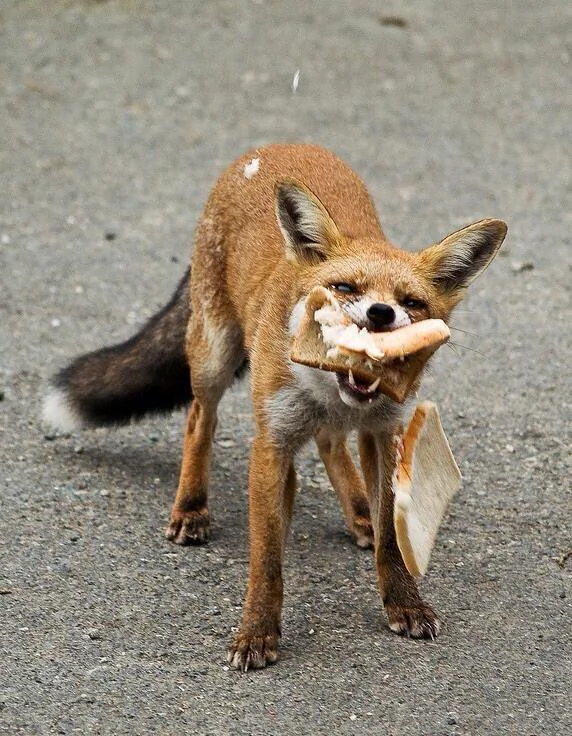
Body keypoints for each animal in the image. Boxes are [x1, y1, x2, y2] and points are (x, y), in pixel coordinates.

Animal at [43, 143, 507, 671]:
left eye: (412, 301)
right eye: (345, 288)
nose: (380, 314)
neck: (325, 389)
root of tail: (274, 147)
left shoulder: (382, 433)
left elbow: (392, 540)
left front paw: (404, 603)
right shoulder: (272, 444)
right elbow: (266, 558)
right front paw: (257, 632)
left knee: (329, 444)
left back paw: (359, 513)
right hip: (214, 356)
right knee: (198, 421)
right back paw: (191, 508)